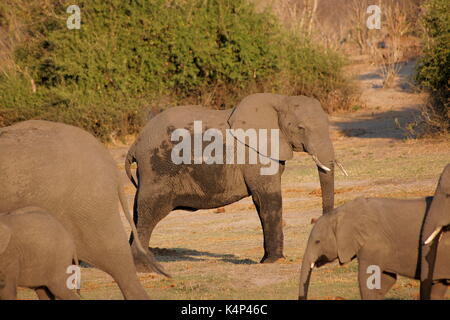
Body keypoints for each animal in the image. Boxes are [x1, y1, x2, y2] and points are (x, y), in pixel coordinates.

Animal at [125, 93, 346, 270]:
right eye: (301, 128)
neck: (280, 99)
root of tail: (135, 144)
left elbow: (261, 202)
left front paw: (266, 260)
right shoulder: (255, 153)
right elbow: (268, 198)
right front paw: (274, 261)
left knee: (137, 211)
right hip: (157, 167)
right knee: (149, 212)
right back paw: (143, 267)